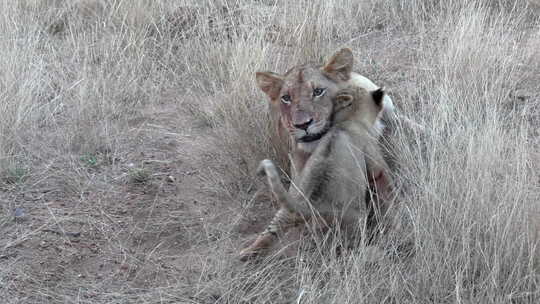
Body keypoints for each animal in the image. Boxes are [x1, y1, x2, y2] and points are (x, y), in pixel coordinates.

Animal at [238, 86, 390, 262]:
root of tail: (314, 204)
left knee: (272, 230)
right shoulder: (374, 159)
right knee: (351, 249)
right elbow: (387, 183)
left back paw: (247, 253)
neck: (347, 120)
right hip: (356, 217)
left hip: (290, 206)